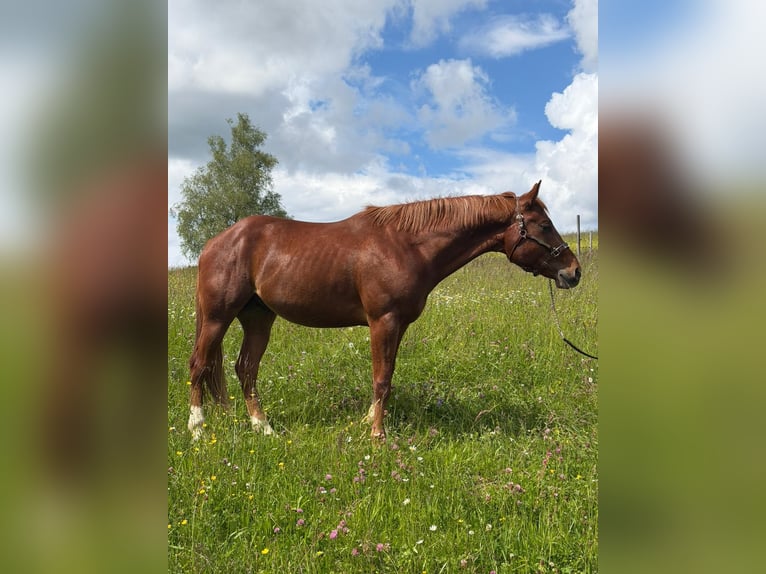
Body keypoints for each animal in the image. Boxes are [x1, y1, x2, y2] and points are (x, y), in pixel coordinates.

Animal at [187, 180, 581, 440]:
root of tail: (216, 242)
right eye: (544, 225)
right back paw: (197, 429)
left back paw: (263, 427)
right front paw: (377, 434)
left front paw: (369, 421)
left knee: (245, 369)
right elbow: (381, 378)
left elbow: (387, 375)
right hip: (218, 317)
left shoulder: (398, 324)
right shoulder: (383, 321)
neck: (406, 245)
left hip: (257, 318)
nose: (574, 272)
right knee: (200, 364)